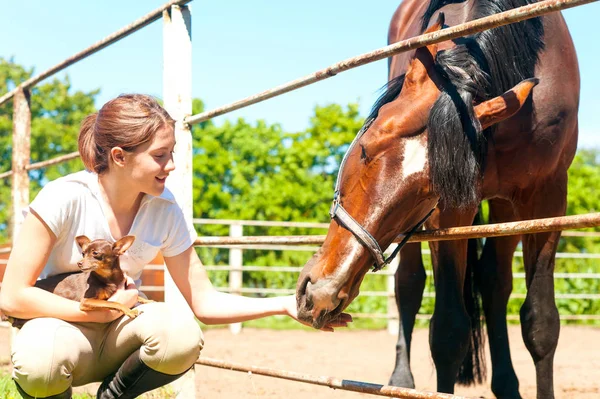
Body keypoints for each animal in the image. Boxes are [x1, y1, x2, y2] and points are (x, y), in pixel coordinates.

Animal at [298, 1, 580, 398]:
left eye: (427, 189)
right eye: (365, 148)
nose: (322, 293)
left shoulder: (547, 200)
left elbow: (540, 322)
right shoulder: (450, 211)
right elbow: (448, 330)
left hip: (506, 208)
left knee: (495, 283)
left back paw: (507, 385)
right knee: (409, 285)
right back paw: (401, 380)